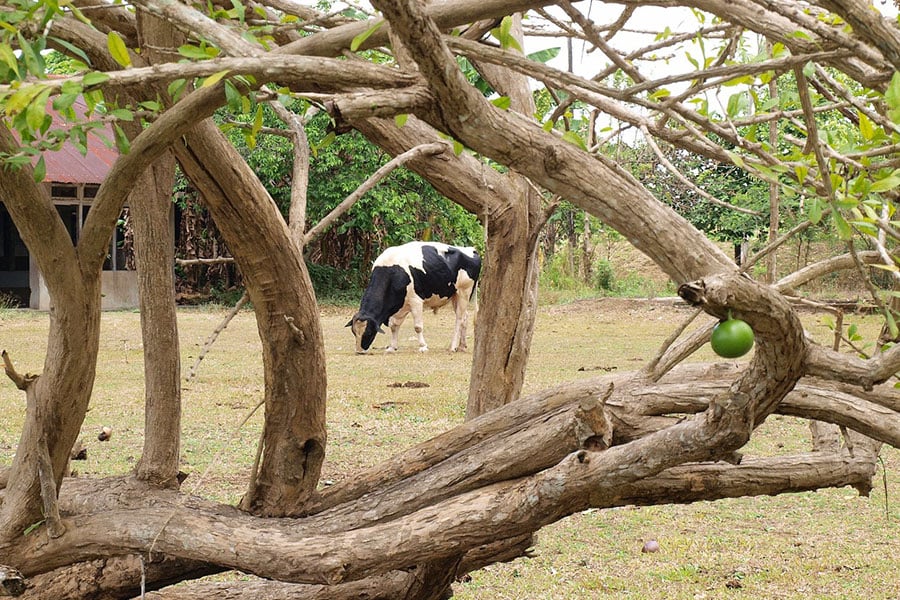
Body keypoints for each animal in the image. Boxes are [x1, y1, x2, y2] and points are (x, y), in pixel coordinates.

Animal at [347, 241, 481, 354]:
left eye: (368, 332)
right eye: (353, 332)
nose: (359, 351)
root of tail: (471, 250)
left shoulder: (416, 300)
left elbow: (417, 327)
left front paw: (423, 346)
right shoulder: (399, 306)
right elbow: (394, 326)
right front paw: (392, 347)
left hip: (464, 292)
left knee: (459, 319)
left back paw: (452, 346)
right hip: (455, 295)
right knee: (465, 317)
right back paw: (462, 346)